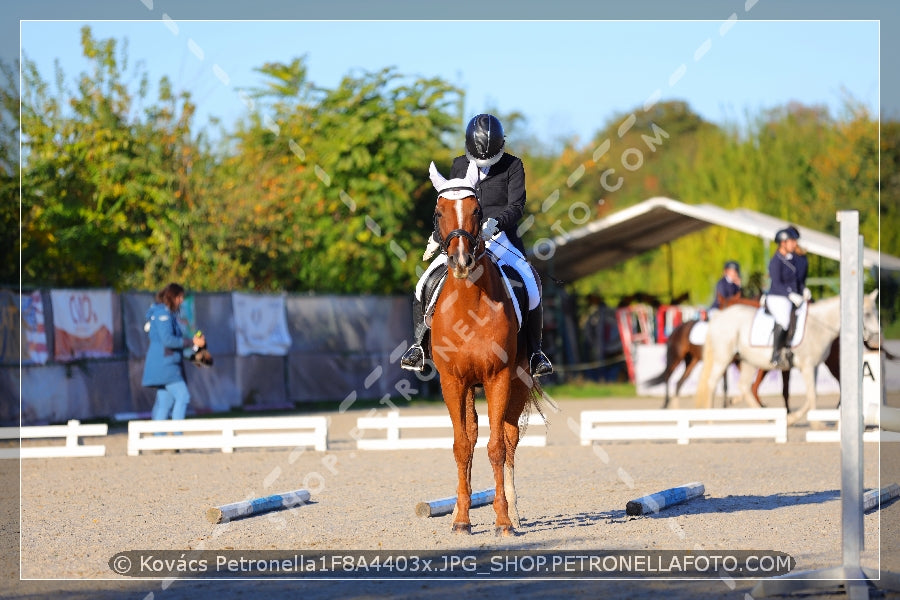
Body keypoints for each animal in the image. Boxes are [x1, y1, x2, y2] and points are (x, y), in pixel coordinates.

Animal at [428, 159, 544, 536]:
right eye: (438, 212)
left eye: (478, 211)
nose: (461, 261)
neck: (469, 305)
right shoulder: (452, 381)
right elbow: (462, 446)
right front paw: (461, 520)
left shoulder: (499, 378)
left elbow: (496, 448)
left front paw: (503, 520)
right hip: (467, 388)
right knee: (473, 435)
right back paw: (456, 509)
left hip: (519, 382)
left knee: (508, 440)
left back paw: (514, 512)